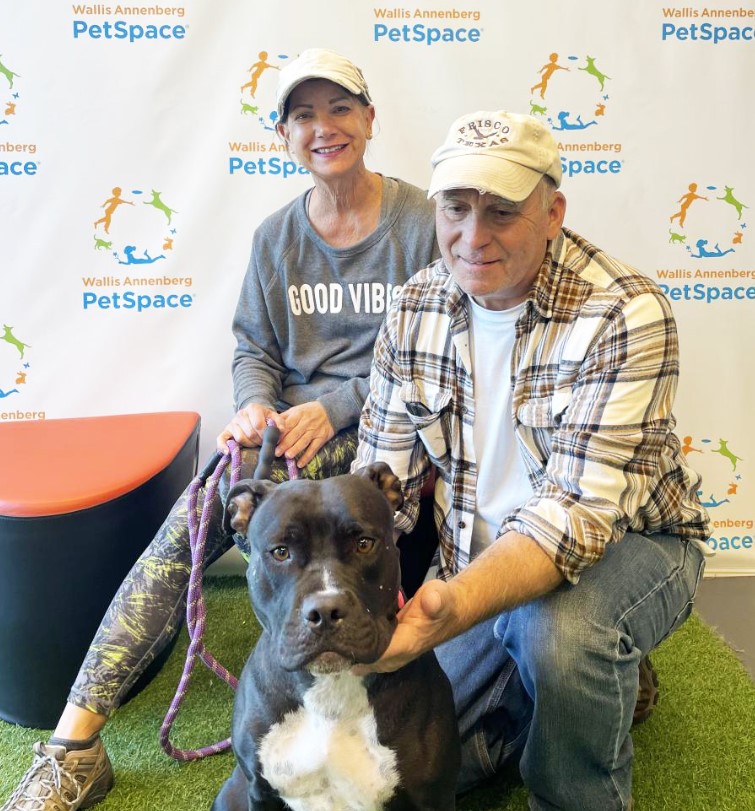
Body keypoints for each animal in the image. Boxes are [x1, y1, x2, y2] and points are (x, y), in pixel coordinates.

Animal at [211, 464, 460, 811]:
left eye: (364, 544)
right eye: (281, 552)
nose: (325, 611)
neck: (328, 689)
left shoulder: (433, 796)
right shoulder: (260, 793)